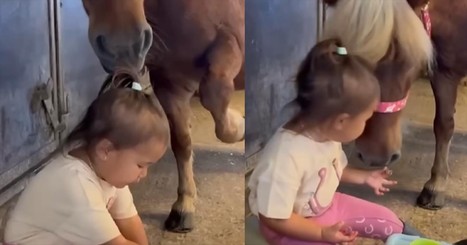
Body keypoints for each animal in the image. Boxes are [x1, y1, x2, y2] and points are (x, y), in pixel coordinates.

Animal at [80, 0, 245, 232]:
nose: (122, 47)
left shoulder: (231, 43)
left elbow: (215, 98)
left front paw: (240, 125)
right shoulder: (170, 87)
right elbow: (182, 144)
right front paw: (184, 206)